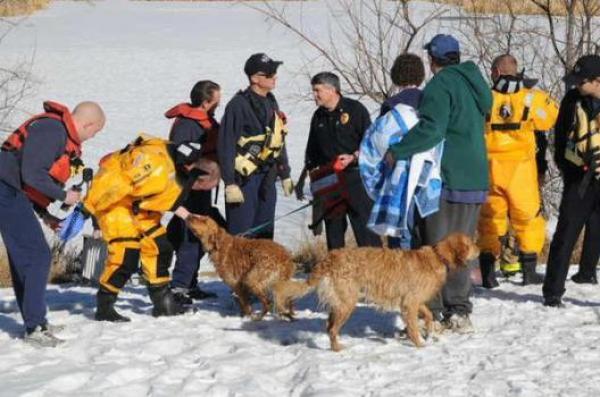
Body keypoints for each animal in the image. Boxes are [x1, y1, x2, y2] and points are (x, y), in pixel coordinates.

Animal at [278, 232, 480, 350]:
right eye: (471, 243)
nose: (480, 248)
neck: (437, 257)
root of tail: (328, 259)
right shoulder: (410, 303)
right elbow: (413, 327)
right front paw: (420, 344)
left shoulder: (411, 302)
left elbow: (428, 314)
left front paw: (430, 328)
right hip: (347, 303)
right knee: (333, 329)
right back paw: (338, 349)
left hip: (339, 304)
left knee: (329, 326)